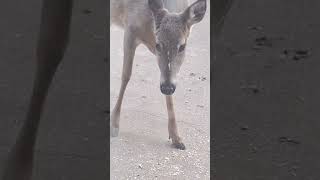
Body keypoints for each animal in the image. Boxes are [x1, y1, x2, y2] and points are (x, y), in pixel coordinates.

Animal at [1, 0, 234, 180]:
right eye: (159, 45)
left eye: (183, 46)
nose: (168, 86)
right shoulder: (130, 30)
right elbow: (124, 74)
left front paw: (176, 136)